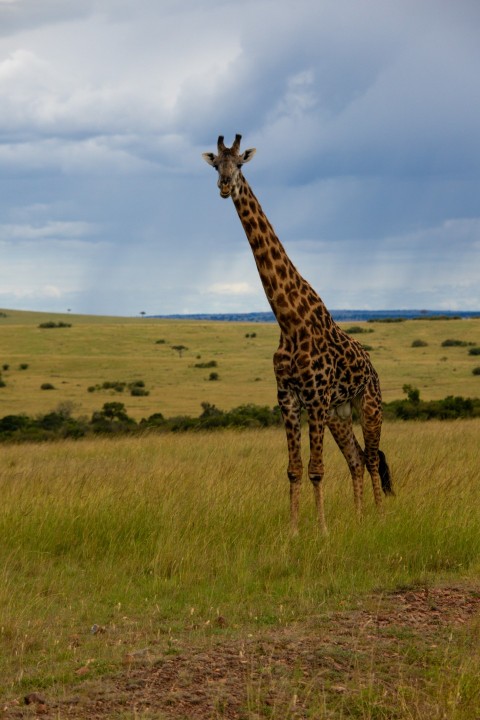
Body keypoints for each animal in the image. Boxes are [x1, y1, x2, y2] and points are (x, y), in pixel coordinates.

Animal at [201, 135, 392, 532]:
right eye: (215, 165)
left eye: (239, 164)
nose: (225, 186)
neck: (289, 321)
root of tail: (372, 366)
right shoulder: (288, 398)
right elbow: (293, 469)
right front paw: (292, 532)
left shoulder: (315, 398)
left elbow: (317, 469)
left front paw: (321, 531)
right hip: (339, 413)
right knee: (355, 458)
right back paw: (358, 519)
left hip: (368, 404)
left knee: (371, 456)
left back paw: (380, 519)